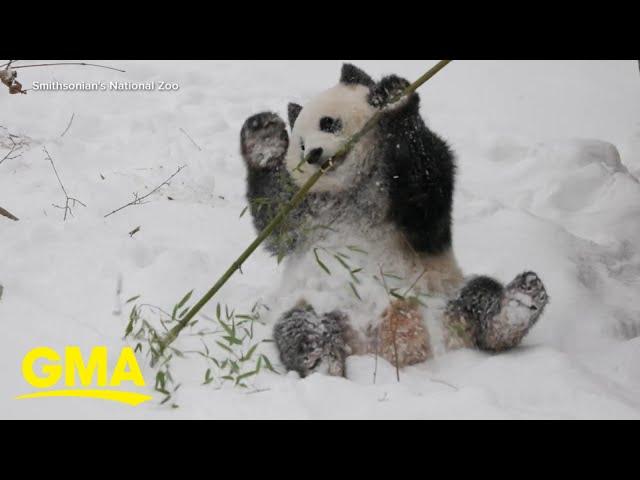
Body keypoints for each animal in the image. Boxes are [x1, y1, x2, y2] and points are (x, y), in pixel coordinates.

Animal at [238, 64, 548, 378]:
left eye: (328, 123)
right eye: (300, 145)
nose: (313, 154)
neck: (352, 189)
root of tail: (391, 342)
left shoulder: (410, 197)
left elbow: (424, 192)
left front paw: (395, 99)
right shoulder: (309, 210)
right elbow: (277, 221)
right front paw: (264, 138)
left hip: (442, 295)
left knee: (479, 297)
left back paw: (516, 307)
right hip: (319, 302)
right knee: (298, 325)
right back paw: (319, 358)